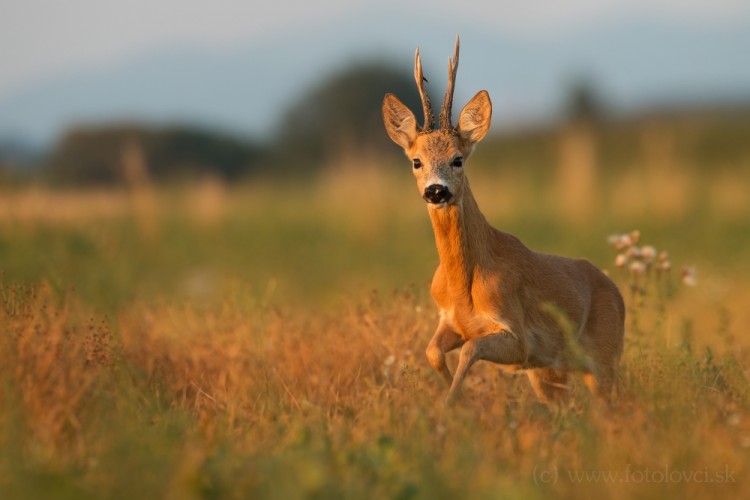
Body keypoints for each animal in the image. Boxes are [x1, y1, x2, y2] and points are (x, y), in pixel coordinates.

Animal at [382, 36, 628, 402]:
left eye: (458, 159)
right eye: (416, 161)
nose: (436, 191)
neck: (463, 289)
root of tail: (617, 293)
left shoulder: (518, 337)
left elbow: (470, 349)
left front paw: (452, 403)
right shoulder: (450, 322)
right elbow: (432, 351)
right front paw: (456, 398)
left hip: (604, 358)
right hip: (551, 373)